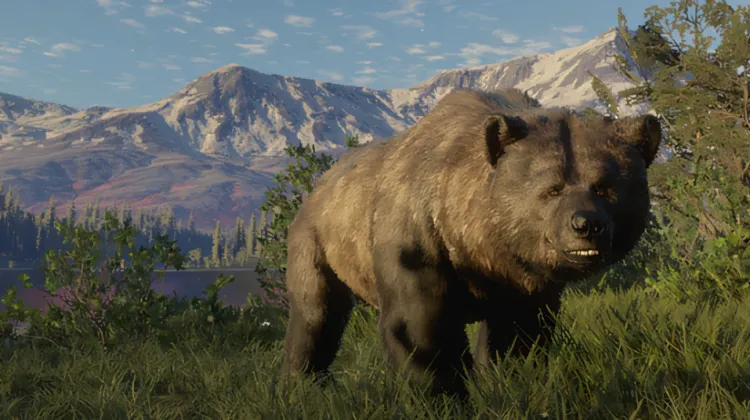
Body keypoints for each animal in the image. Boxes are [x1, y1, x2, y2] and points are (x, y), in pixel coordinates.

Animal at [281, 88, 662, 399]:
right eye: (552, 188)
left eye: (605, 187)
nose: (586, 224)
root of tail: (318, 184)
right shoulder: (415, 240)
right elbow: (418, 328)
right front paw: (441, 393)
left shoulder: (522, 281)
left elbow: (518, 335)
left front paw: (508, 380)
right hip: (317, 242)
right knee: (316, 312)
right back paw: (308, 382)